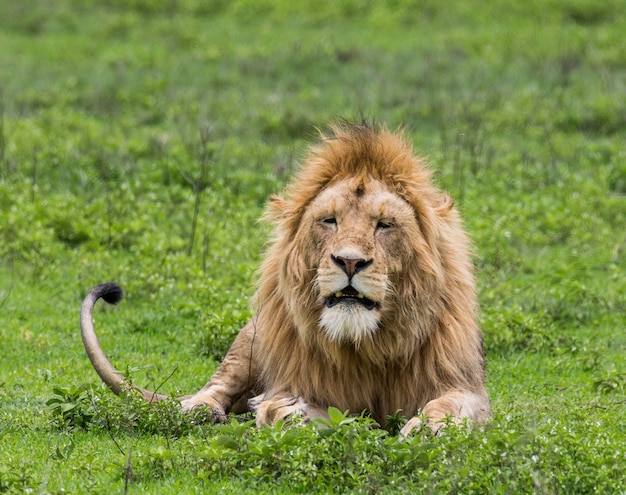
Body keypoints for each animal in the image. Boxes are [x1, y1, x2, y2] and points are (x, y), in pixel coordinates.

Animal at [81, 122, 492, 436]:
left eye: (385, 225)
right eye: (329, 220)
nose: (350, 261)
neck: (366, 346)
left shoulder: (465, 385)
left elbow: (453, 406)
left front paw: (429, 428)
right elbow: (288, 407)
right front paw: (298, 413)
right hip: (252, 339)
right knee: (216, 386)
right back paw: (201, 410)